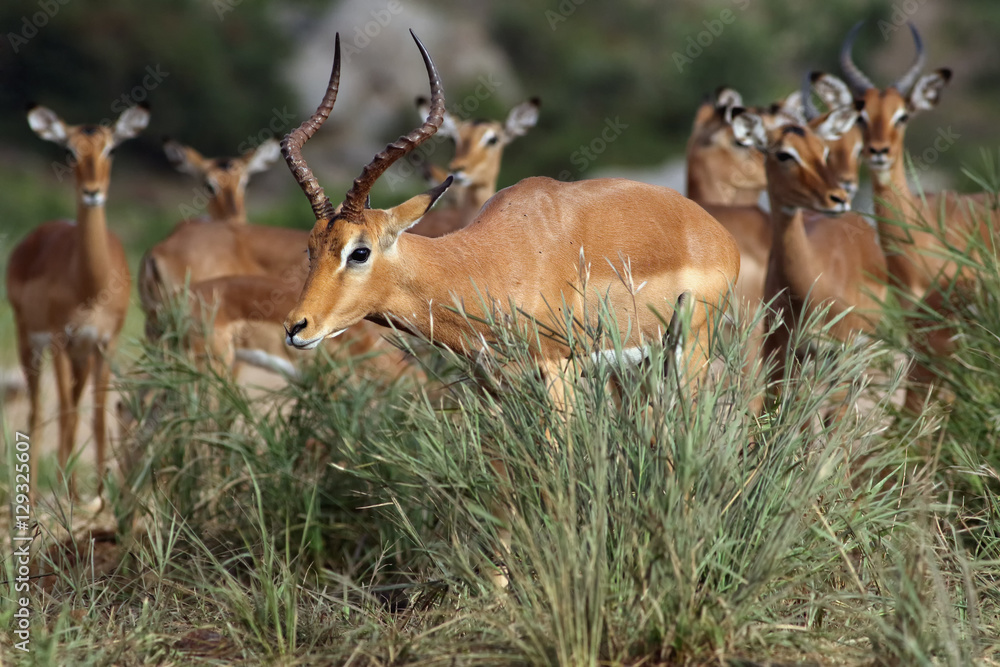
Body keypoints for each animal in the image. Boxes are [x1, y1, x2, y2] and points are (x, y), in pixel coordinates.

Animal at [6, 104, 149, 501]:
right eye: (70, 151)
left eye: (110, 149)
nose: (92, 192)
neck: (90, 285)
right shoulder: (59, 338)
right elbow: (66, 414)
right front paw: (62, 492)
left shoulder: (103, 343)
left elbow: (98, 416)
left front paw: (100, 494)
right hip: (30, 343)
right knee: (40, 412)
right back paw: (35, 495)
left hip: (80, 356)